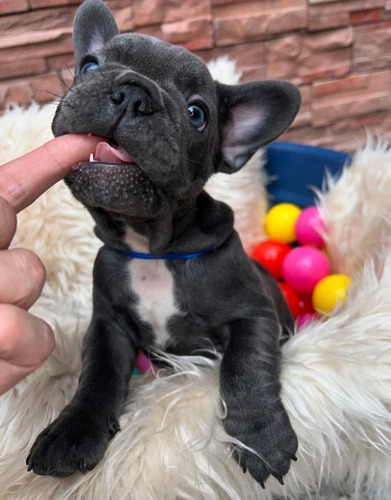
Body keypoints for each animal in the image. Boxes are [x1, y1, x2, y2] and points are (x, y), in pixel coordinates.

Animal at [27, 0, 302, 486]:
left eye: (197, 114)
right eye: (90, 66)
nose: (132, 92)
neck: (153, 247)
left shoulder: (252, 316)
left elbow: (245, 367)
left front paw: (261, 438)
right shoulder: (109, 325)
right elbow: (96, 375)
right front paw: (70, 433)